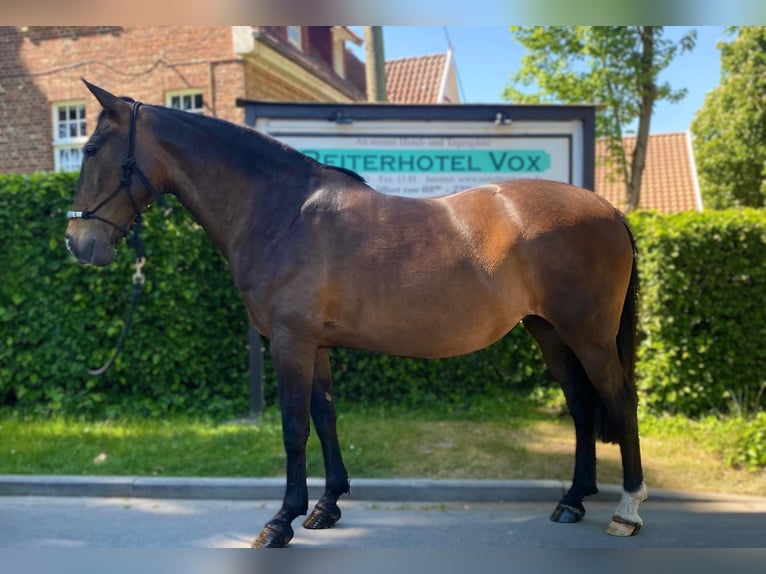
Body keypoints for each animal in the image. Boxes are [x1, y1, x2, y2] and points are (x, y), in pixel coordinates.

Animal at [65, 80, 647, 548]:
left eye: (91, 148)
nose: (78, 242)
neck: (281, 212)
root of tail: (609, 211)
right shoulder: (316, 344)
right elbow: (325, 418)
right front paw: (326, 507)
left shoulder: (291, 342)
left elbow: (293, 426)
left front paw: (280, 522)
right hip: (550, 333)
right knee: (581, 405)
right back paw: (572, 501)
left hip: (589, 336)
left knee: (619, 400)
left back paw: (627, 510)